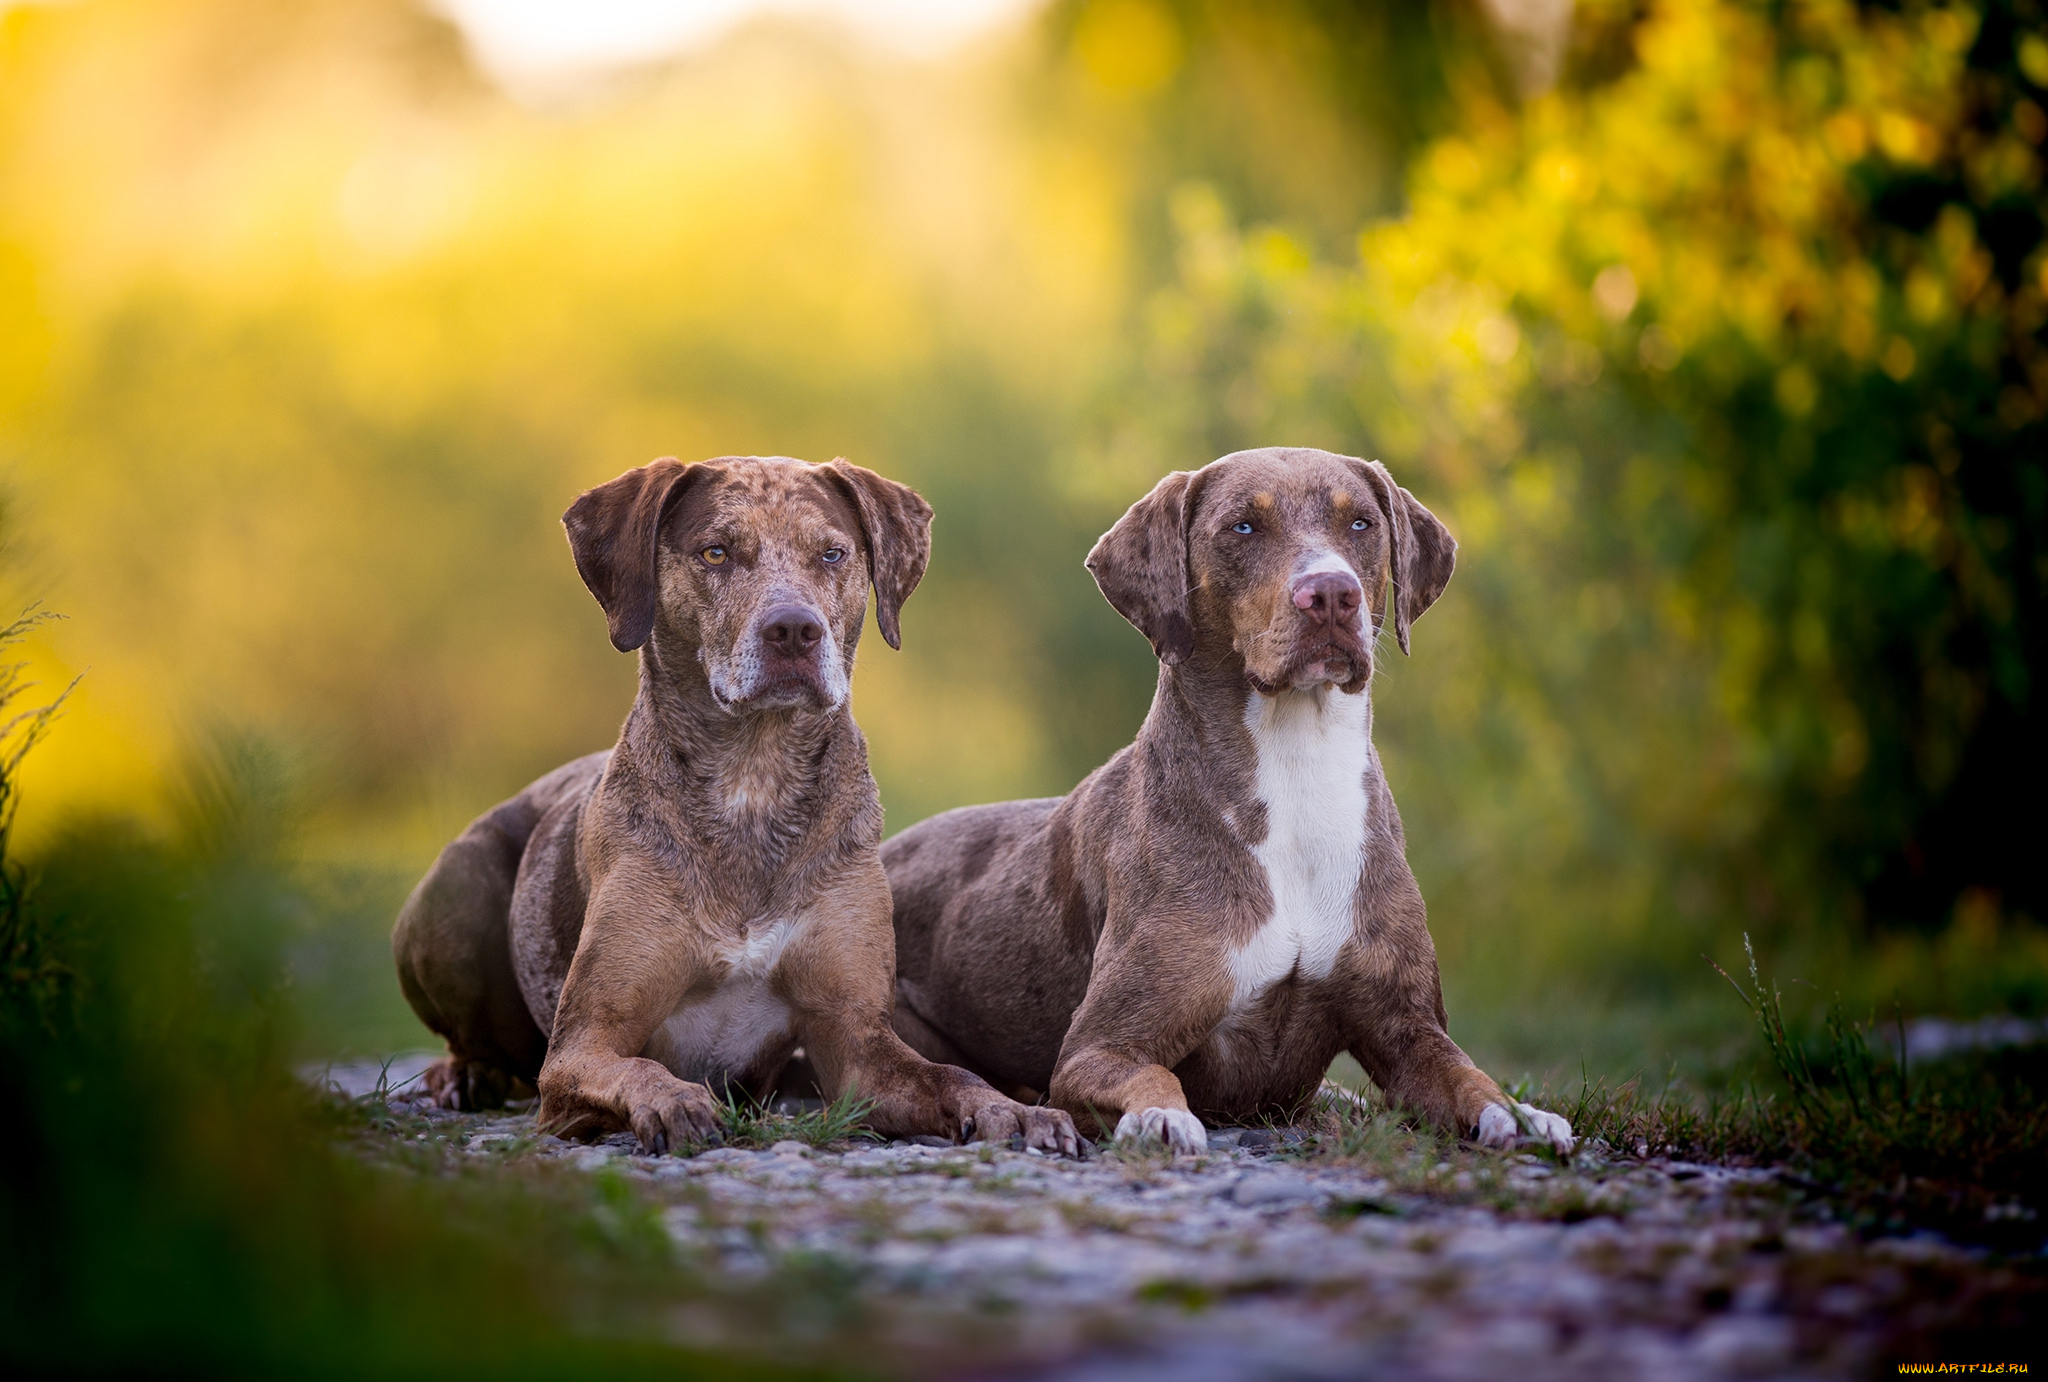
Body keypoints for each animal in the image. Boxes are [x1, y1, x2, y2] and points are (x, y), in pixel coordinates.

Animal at [391, 454, 1081, 1154]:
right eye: (715, 552)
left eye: (832, 553)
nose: (795, 629)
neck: (754, 779)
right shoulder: (583, 1044)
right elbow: (636, 1067)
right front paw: (674, 1101)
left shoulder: (857, 1045)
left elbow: (950, 1075)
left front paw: (1013, 1109)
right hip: (456, 892)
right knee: (473, 1039)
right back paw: (462, 1076)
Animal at [888, 446, 1572, 1154]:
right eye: (1242, 527)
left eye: (1360, 523)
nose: (1332, 594)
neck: (1296, 773)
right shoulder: (1097, 1049)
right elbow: (1151, 1075)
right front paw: (1161, 1117)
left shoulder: (1410, 1029)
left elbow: (1468, 1075)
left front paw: (1522, 1115)